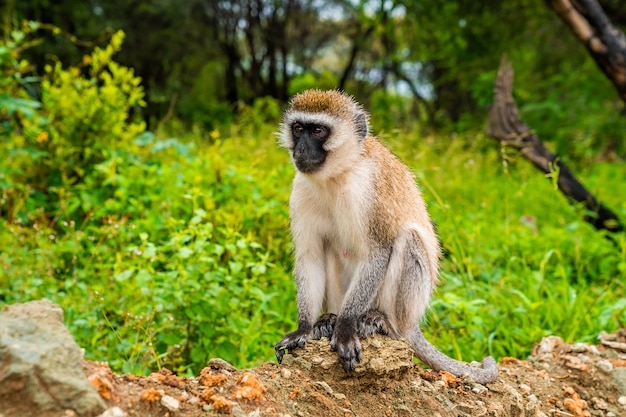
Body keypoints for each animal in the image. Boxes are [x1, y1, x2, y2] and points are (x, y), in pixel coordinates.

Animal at [274, 90, 498, 384]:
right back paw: (328, 319)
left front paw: (345, 327)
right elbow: (310, 257)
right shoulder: (300, 190)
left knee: (407, 239)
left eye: (318, 131)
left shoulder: (369, 190)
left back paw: (381, 321)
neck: (337, 175)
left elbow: (378, 252)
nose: (299, 150)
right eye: (299, 129)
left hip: (407, 307)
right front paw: (304, 328)